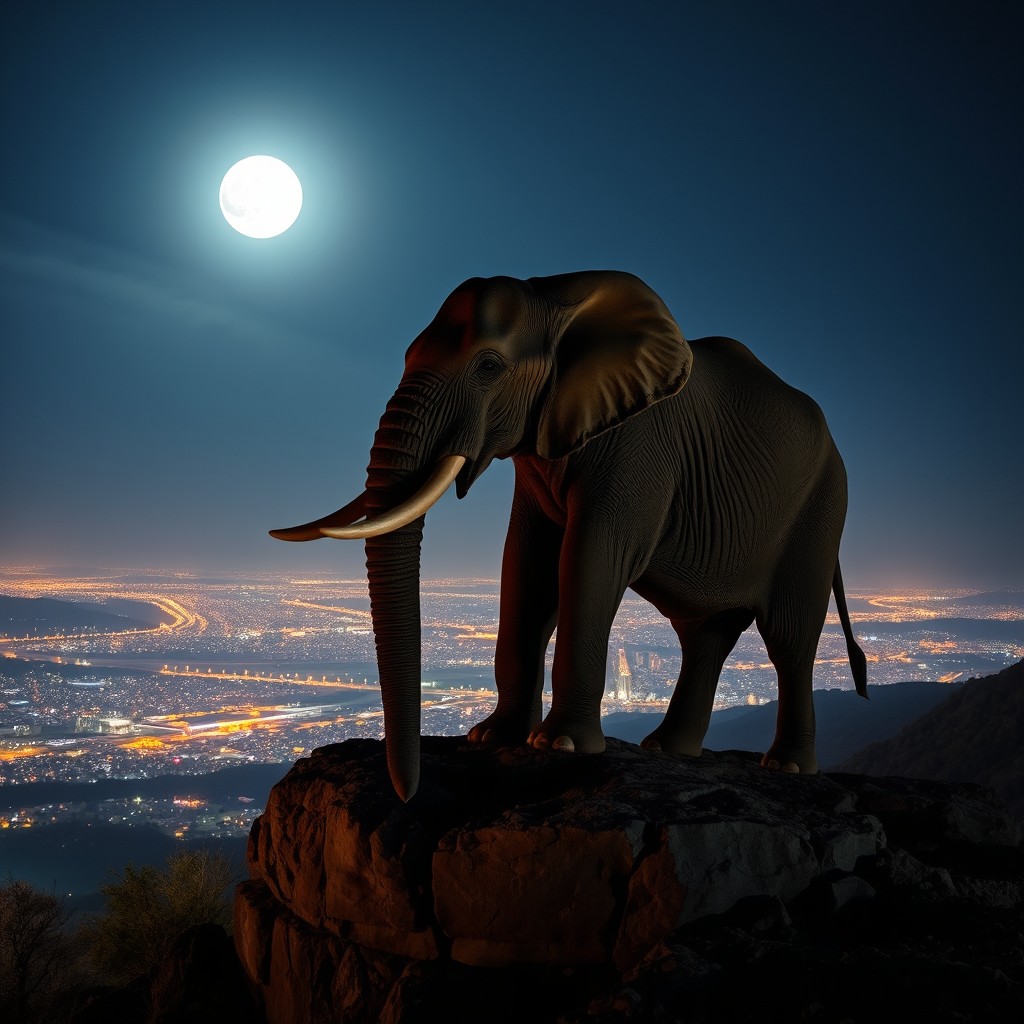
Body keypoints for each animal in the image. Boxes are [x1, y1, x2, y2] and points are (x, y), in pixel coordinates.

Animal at [271, 271, 867, 801]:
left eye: (489, 366)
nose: (408, 792)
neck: (555, 296)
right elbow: (526, 564)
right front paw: (491, 737)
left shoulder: (638, 442)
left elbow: (592, 557)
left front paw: (559, 747)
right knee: (705, 633)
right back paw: (667, 750)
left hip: (819, 508)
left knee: (789, 637)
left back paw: (787, 767)